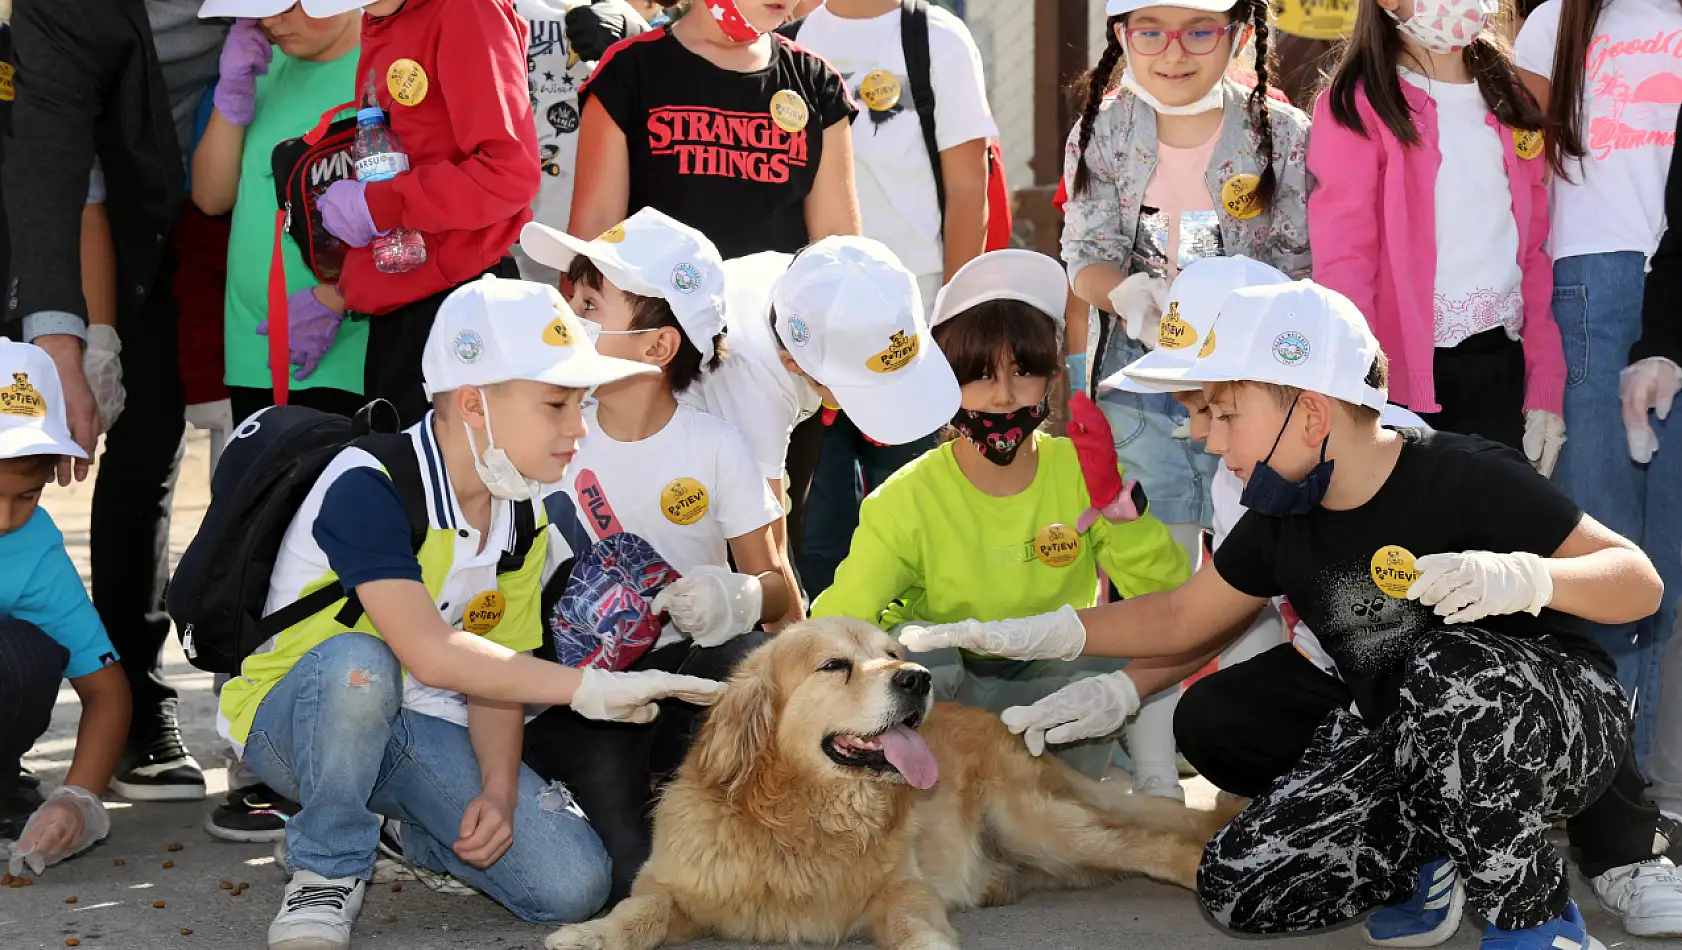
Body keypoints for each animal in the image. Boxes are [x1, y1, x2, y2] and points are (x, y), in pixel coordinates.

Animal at [544, 615, 1231, 948]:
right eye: (834, 665)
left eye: (895, 652)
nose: (917, 678)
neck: (803, 823)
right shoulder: (675, 885)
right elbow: (639, 912)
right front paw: (592, 934)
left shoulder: (902, 888)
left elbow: (910, 922)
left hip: (1040, 824)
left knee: (1155, 845)